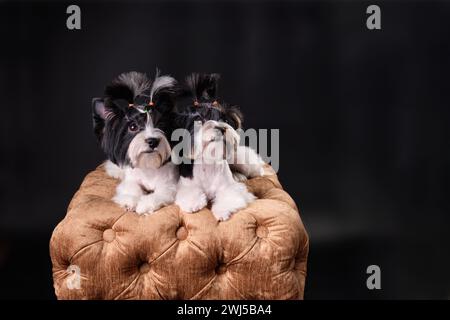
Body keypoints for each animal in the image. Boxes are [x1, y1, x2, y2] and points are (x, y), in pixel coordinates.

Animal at [92, 71, 178, 214]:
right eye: (133, 127)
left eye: (160, 125)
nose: (153, 141)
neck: (148, 166)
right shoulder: (131, 179)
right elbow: (131, 187)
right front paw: (130, 200)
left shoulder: (168, 184)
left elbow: (160, 193)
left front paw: (145, 204)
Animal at [173, 74, 264, 220]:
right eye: (200, 120)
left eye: (225, 120)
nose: (221, 127)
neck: (209, 163)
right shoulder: (186, 185)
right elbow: (189, 193)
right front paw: (193, 203)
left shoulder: (230, 188)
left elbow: (230, 196)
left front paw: (222, 210)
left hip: (241, 161)